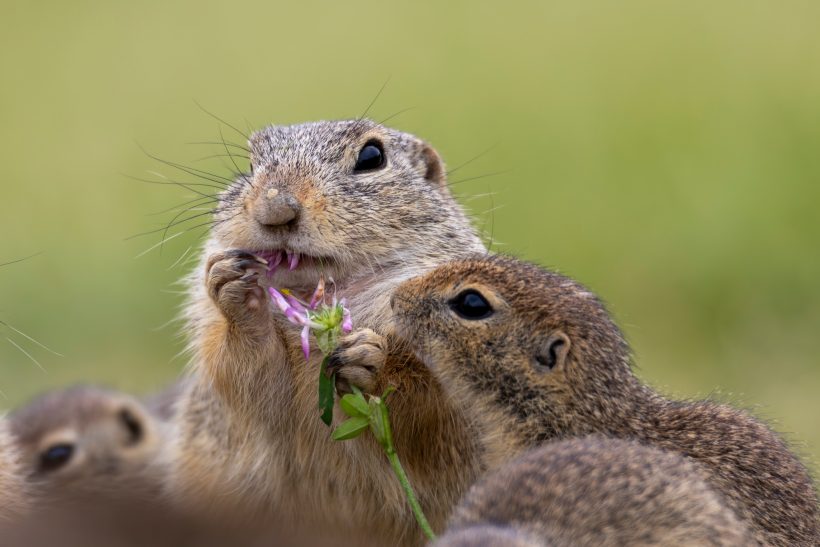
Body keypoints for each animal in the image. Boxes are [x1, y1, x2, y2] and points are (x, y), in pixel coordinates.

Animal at [167, 119, 486, 544]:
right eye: (250, 163)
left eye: (372, 157)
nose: (276, 208)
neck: (321, 293)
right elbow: (249, 379)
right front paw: (235, 290)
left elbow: (435, 408)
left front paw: (371, 361)